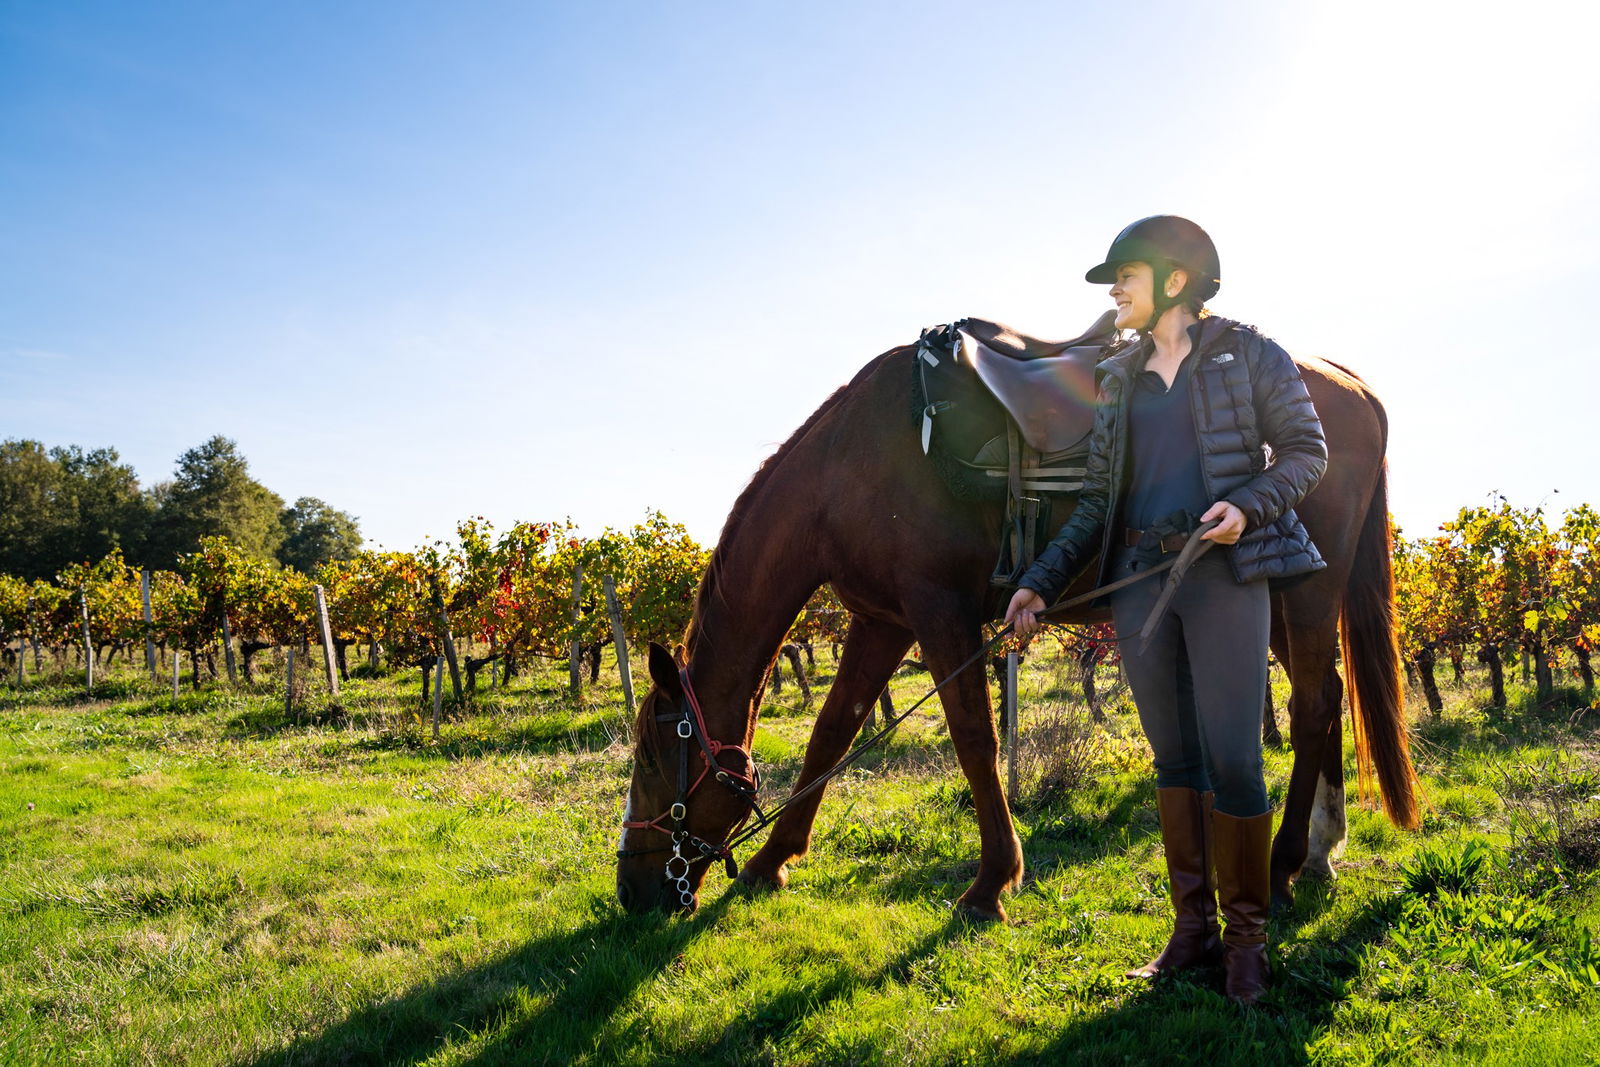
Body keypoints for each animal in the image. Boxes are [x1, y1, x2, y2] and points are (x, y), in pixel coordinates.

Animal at [616, 333, 1419, 920]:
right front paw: (772, 858)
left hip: (1304, 589)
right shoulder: (881, 622)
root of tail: (1350, 385)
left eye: (654, 758)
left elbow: (974, 738)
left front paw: (993, 881)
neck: (845, 470)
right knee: (1329, 693)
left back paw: (1283, 864)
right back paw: (1322, 847)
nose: (631, 887)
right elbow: (831, 732)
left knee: (1310, 704)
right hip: (1269, 594)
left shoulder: (939, 613)